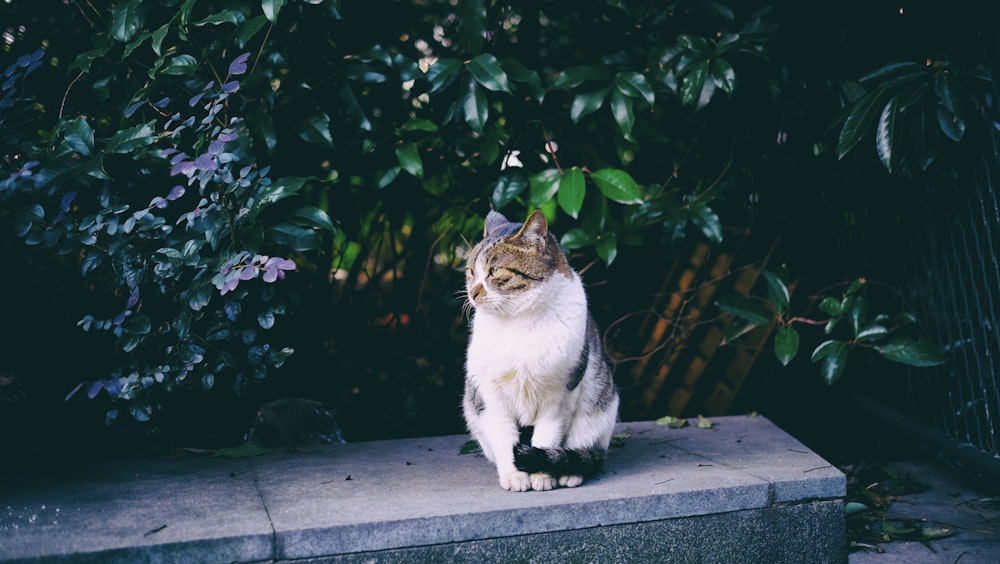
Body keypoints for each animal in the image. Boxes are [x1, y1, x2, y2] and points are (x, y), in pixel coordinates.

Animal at [460, 209, 616, 492]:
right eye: (470, 271)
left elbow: (546, 438)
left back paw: (570, 472)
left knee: (583, 447)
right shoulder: (491, 395)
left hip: (598, 405)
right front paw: (515, 475)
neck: (520, 321)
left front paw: (542, 475)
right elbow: (504, 437)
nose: (472, 292)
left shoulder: (560, 395)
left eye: (494, 271)